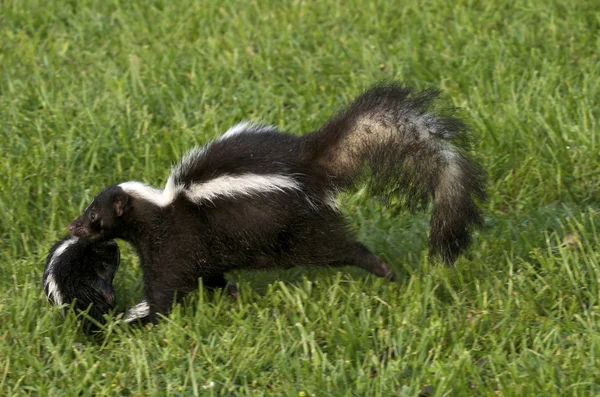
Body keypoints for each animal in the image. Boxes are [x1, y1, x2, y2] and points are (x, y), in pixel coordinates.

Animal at [67, 83, 488, 322]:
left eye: (94, 215)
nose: (72, 227)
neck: (160, 210)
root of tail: (307, 163)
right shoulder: (198, 251)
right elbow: (212, 277)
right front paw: (233, 296)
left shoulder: (176, 244)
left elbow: (166, 288)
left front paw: (138, 316)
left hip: (299, 229)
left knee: (341, 247)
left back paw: (386, 271)